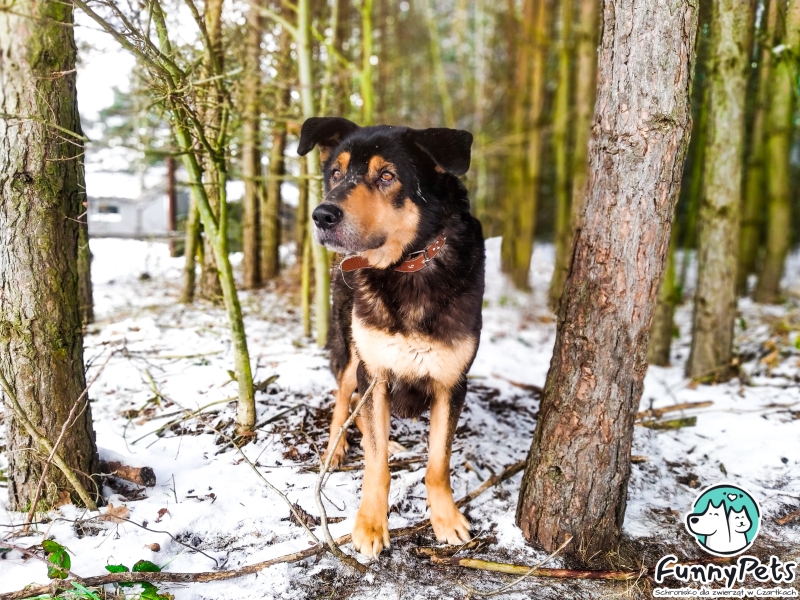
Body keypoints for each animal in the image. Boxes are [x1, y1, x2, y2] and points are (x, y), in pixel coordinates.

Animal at [297, 117, 485, 558]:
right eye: (335, 173)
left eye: (387, 176)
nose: (322, 215)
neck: (407, 267)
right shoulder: (374, 373)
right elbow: (375, 464)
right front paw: (369, 524)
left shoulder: (452, 383)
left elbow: (437, 464)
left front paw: (446, 519)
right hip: (352, 353)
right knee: (341, 401)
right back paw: (336, 448)